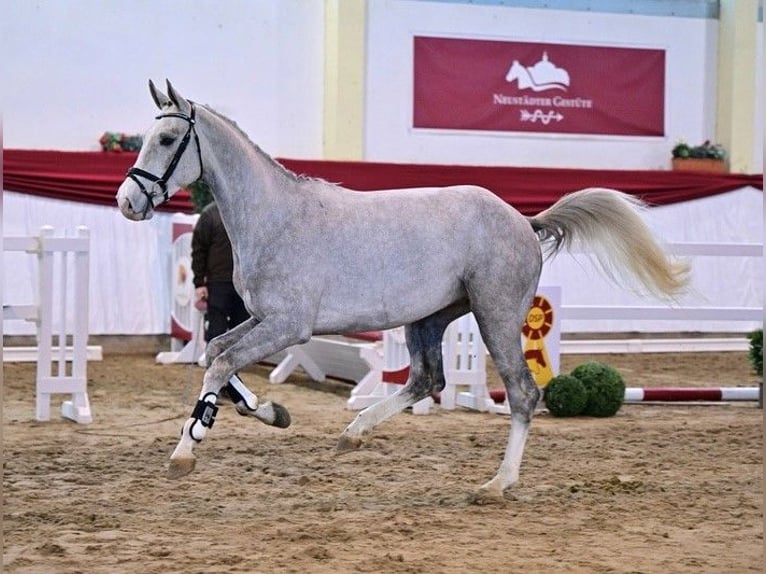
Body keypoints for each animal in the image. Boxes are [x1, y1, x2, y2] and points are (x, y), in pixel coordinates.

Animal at [115, 80, 688, 504]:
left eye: (167, 139)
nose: (127, 202)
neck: (275, 216)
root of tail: (523, 221)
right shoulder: (262, 320)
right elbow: (215, 351)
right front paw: (271, 413)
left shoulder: (288, 327)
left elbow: (218, 364)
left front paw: (186, 451)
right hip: (429, 318)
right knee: (427, 379)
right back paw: (355, 433)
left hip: (496, 315)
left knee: (523, 393)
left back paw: (496, 484)